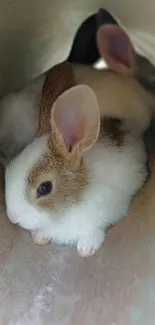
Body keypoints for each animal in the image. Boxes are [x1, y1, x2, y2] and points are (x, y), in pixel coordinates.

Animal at [4, 83, 148, 256]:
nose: (13, 217)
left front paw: (86, 249)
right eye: (8, 170)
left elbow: (95, 232)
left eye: (44, 188)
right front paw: (40, 239)